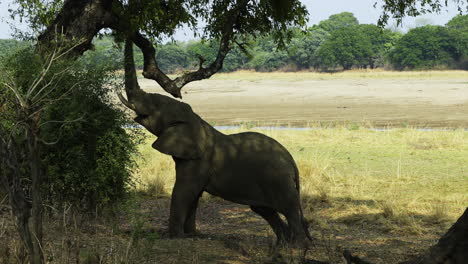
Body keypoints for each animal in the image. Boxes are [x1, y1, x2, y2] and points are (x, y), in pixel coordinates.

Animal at [119, 39, 312, 245]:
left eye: (155, 105)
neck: (197, 121)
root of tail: (292, 161)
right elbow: (193, 196)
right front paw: (192, 235)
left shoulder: (199, 161)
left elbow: (183, 192)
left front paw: (175, 237)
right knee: (266, 210)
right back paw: (281, 245)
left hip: (279, 179)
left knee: (289, 209)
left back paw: (296, 246)